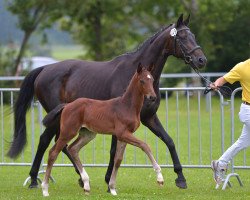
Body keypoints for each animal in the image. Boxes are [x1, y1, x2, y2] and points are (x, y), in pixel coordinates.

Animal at [41, 63, 164, 196]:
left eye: (152, 79)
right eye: (142, 81)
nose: (152, 97)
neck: (127, 106)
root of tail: (67, 105)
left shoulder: (124, 135)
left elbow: (118, 160)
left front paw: (112, 188)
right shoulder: (122, 133)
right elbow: (145, 145)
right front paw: (160, 177)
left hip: (88, 134)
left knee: (73, 149)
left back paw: (86, 185)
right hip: (68, 132)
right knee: (53, 153)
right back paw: (45, 189)